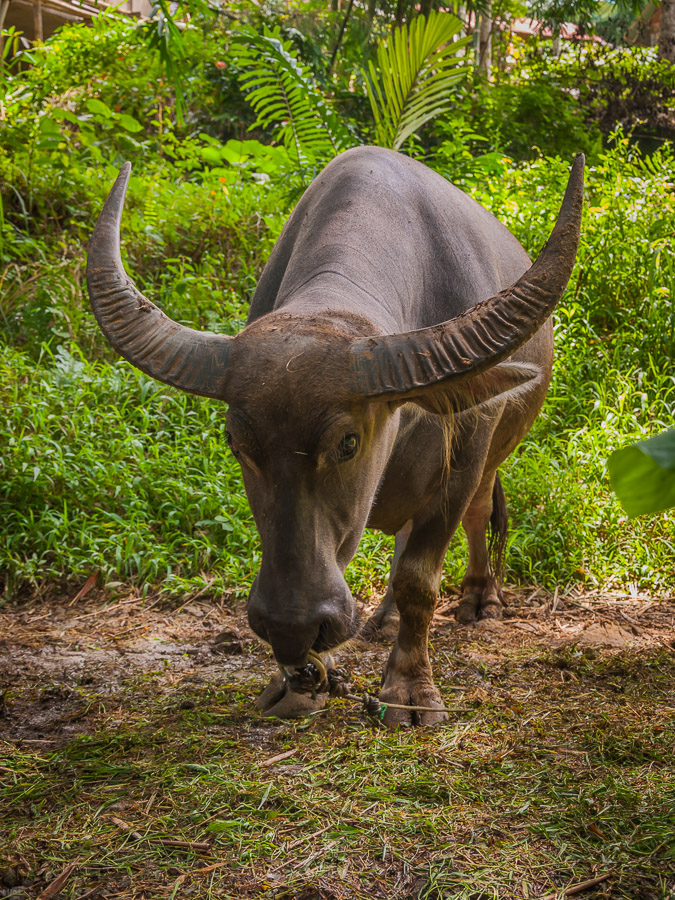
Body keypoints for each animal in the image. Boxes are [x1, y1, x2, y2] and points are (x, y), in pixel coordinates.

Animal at [88, 146, 588, 724]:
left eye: (347, 442)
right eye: (237, 445)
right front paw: (298, 683)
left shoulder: (461, 462)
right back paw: (383, 619)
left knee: (478, 514)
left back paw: (480, 599)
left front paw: (409, 690)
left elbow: (420, 578)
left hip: (490, 458)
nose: (291, 626)